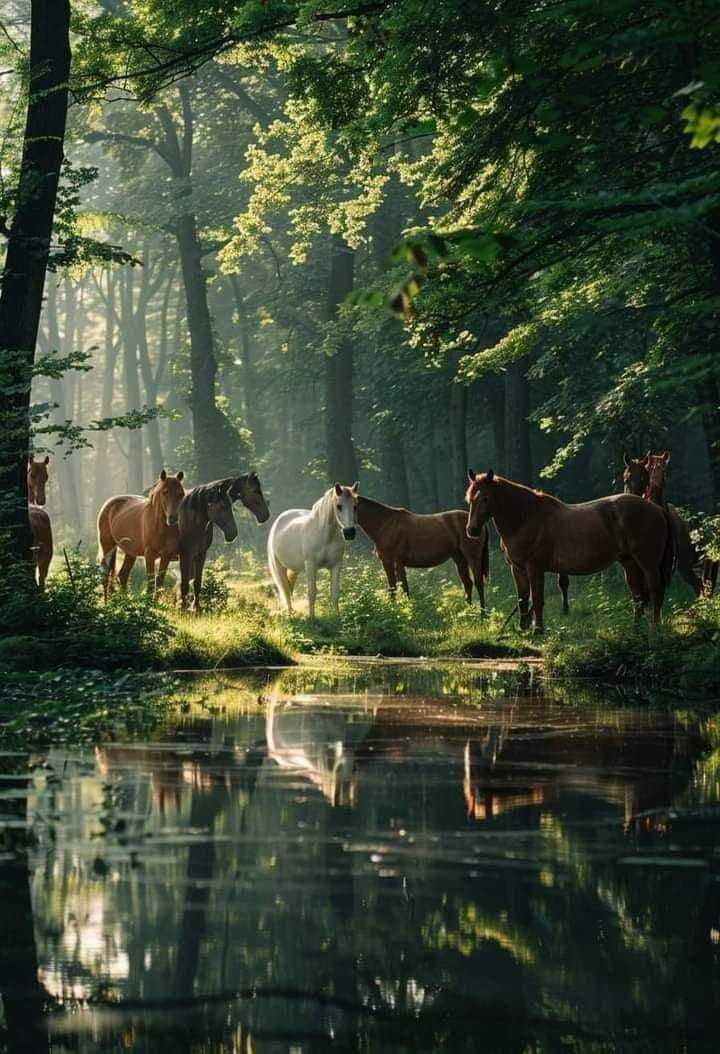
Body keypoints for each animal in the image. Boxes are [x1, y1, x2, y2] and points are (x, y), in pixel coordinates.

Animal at [265, 482, 358, 615]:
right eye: (339, 506)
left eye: (355, 506)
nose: (349, 532)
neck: (325, 536)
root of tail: (280, 520)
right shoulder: (311, 565)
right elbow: (312, 593)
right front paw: (312, 618)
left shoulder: (336, 565)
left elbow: (334, 594)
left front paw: (337, 617)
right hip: (279, 567)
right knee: (285, 590)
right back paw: (290, 614)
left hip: (294, 568)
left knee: (289, 587)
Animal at [356, 495, 489, 607]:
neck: (386, 524)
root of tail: (477, 525)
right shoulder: (387, 562)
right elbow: (393, 587)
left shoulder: (397, 561)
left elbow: (403, 587)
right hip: (459, 559)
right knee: (467, 584)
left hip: (473, 557)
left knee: (479, 583)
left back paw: (482, 616)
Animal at [468, 472, 674, 632]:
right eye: (470, 499)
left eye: (485, 498)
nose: (472, 530)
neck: (525, 518)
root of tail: (657, 509)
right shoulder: (517, 568)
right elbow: (522, 599)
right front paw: (523, 628)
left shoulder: (534, 567)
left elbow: (537, 599)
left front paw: (538, 630)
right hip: (629, 562)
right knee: (637, 594)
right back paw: (636, 628)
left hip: (648, 564)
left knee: (654, 591)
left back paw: (655, 627)